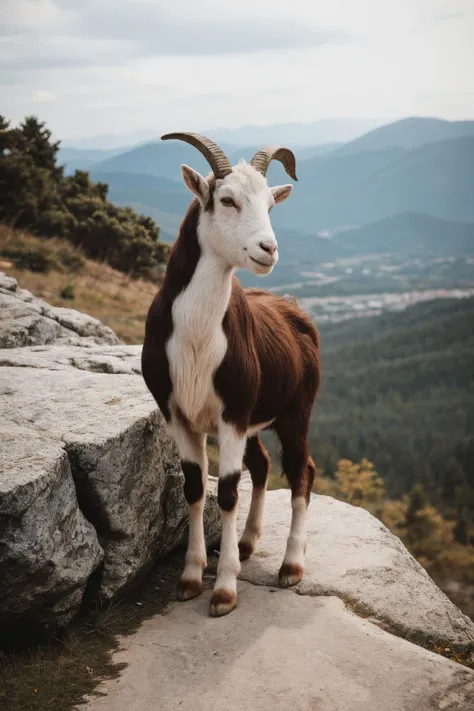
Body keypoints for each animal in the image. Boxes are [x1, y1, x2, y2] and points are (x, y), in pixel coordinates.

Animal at [140, 135, 318, 616]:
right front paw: (189, 578)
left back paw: (291, 566)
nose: (268, 249)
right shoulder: (180, 415)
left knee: (301, 470)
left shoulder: (233, 415)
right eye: (227, 200)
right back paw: (248, 542)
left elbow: (228, 491)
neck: (198, 340)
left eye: (271, 204)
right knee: (264, 464)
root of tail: (294, 311)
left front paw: (223, 590)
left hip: (296, 413)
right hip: (256, 420)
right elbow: (195, 488)